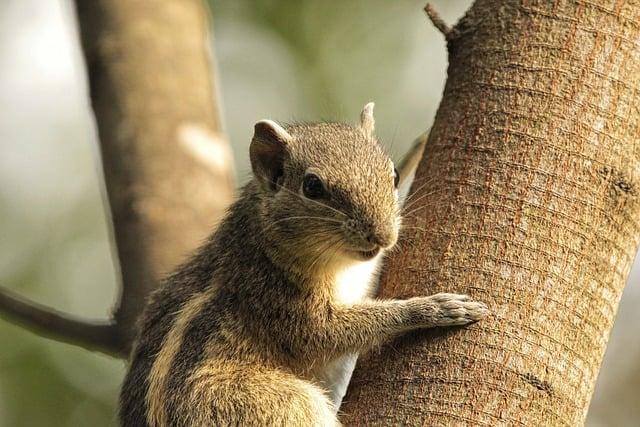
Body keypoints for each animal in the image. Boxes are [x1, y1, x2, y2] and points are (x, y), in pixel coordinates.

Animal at [120, 104, 488, 427]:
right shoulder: (273, 295)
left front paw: (417, 149)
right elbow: (321, 333)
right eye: (312, 186)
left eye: (393, 174)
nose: (382, 236)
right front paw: (432, 308)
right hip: (268, 403)